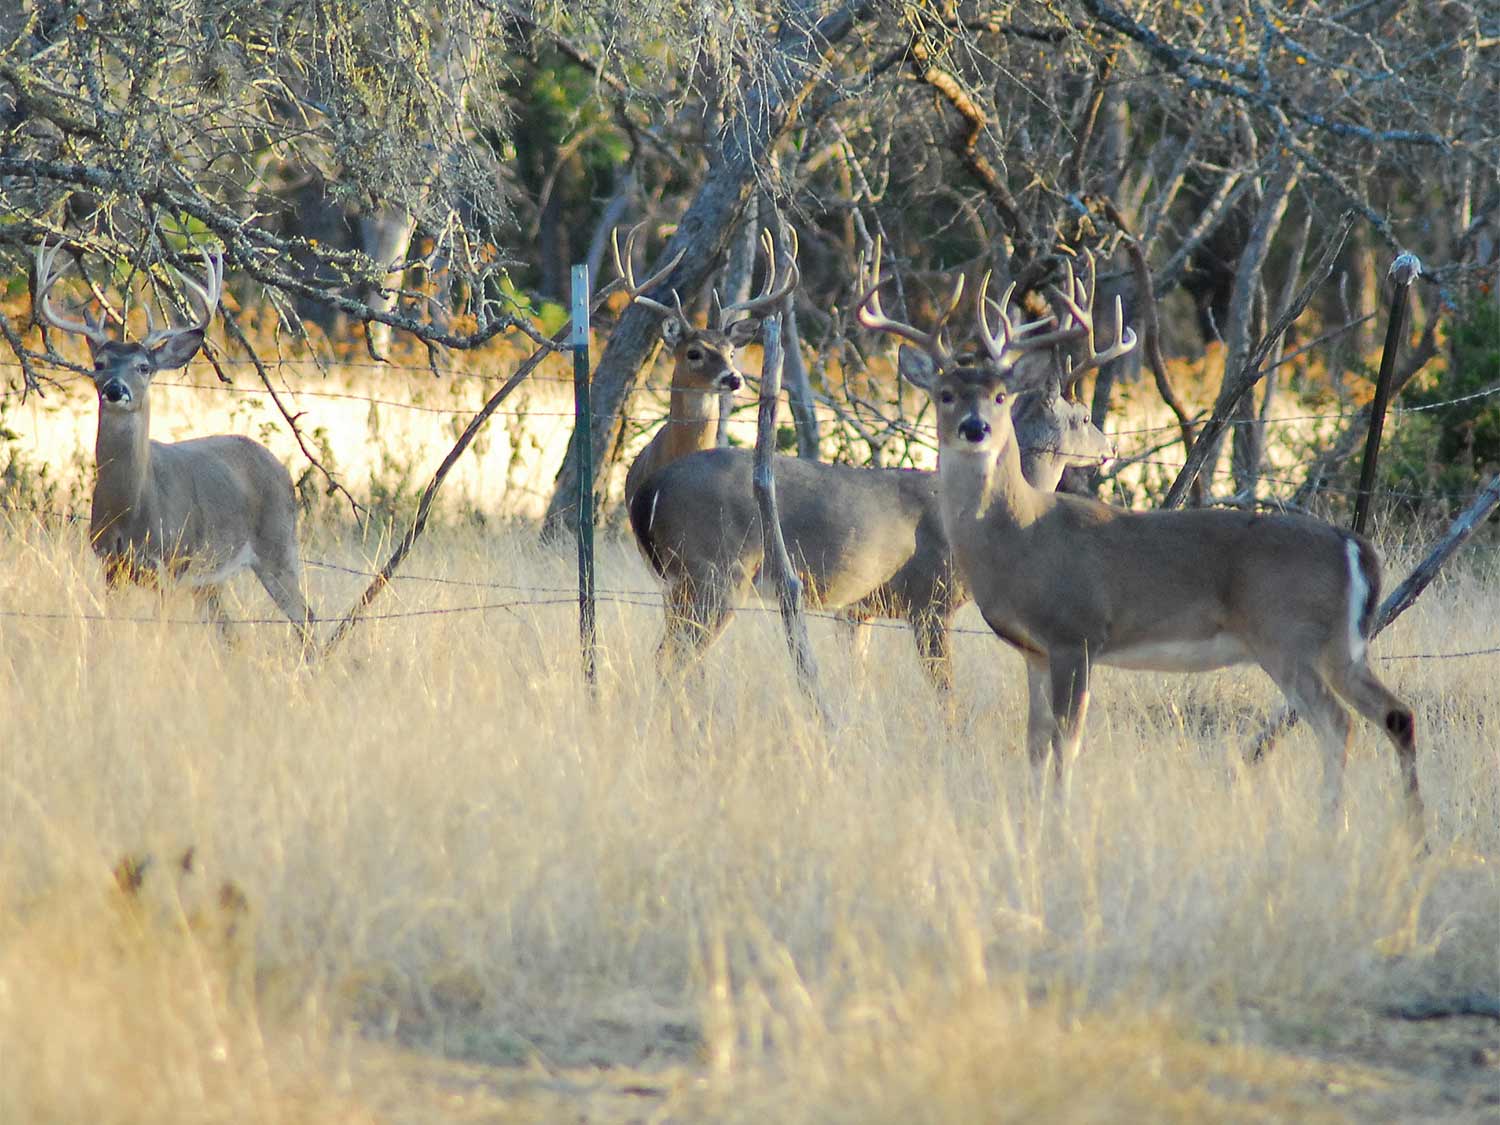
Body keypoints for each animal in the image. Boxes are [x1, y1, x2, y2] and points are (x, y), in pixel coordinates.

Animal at [33, 243, 313, 648]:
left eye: (144, 367)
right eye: (99, 363)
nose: (115, 389)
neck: (131, 509)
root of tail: (280, 466)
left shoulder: (171, 563)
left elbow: (159, 630)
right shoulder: (110, 564)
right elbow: (107, 626)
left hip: (278, 545)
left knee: (307, 618)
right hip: (211, 578)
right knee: (230, 631)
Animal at [630, 243, 1116, 693]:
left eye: (999, 396)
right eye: (1083, 418)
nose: (1109, 449)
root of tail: (648, 490)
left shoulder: (856, 611)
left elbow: (857, 683)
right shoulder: (930, 600)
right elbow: (948, 700)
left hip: (681, 582)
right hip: (714, 572)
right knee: (672, 661)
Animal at [864, 250, 1422, 834]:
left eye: (999, 396)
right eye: (945, 395)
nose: (975, 428)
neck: (1021, 537)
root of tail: (1354, 547)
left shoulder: (1077, 634)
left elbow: (1066, 744)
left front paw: (1060, 821)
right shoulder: (1035, 651)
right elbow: (1036, 743)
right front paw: (1032, 816)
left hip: (1286, 635)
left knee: (1338, 724)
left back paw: (1333, 825)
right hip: (1342, 645)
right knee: (1396, 714)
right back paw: (1410, 831)